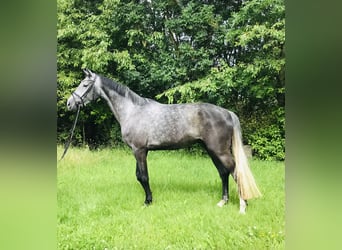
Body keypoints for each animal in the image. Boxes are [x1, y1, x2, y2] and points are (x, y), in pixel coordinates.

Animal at [66, 68, 262, 213]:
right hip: (212, 150)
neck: (132, 111)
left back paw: (243, 206)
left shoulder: (139, 150)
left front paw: (147, 202)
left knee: (235, 172)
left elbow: (144, 177)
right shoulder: (139, 151)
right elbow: (139, 176)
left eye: (85, 84)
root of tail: (227, 112)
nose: (69, 104)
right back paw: (223, 202)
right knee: (223, 173)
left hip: (219, 151)